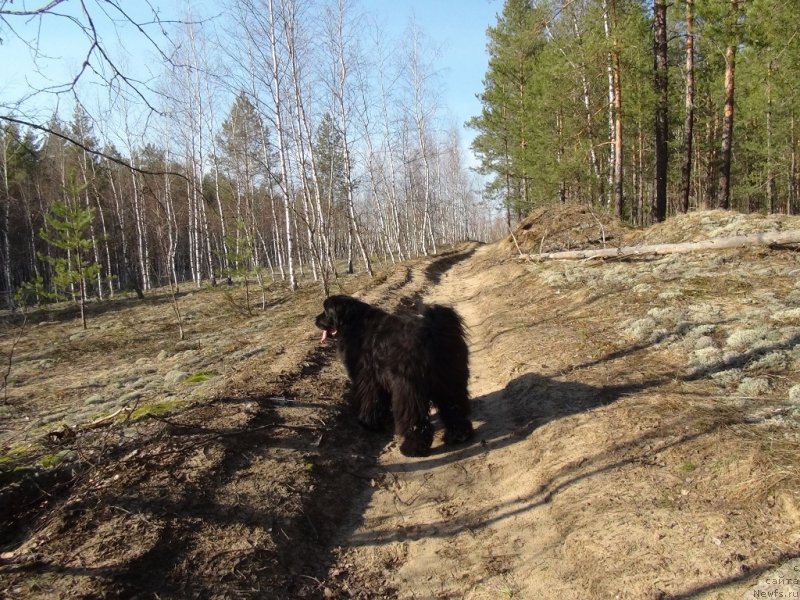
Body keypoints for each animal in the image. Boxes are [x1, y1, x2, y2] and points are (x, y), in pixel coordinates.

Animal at [314, 294, 476, 454]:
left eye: (326, 311)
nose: (315, 319)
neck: (353, 324)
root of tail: (432, 330)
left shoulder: (367, 379)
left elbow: (370, 400)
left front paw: (368, 423)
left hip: (408, 387)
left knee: (415, 419)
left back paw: (412, 448)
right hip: (450, 378)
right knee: (454, 407)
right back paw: (459, 435)